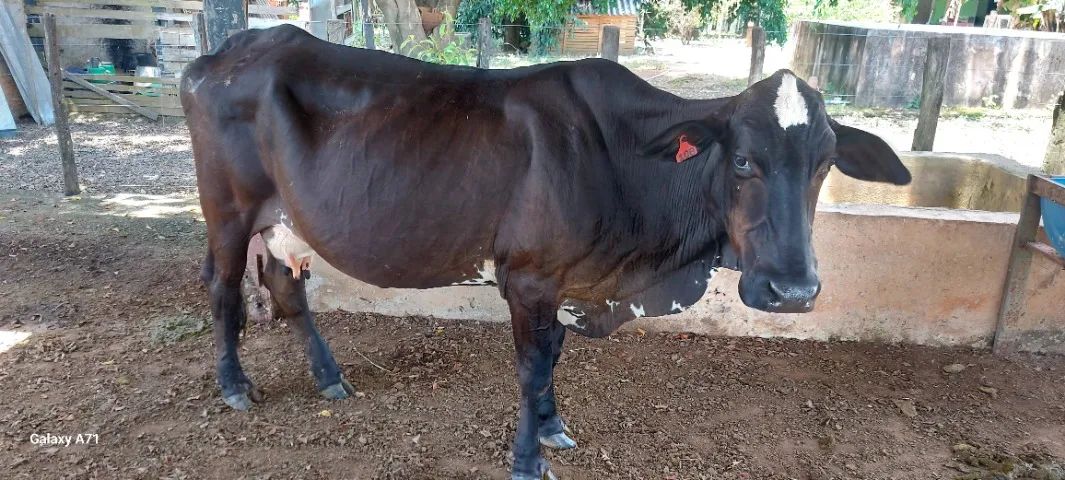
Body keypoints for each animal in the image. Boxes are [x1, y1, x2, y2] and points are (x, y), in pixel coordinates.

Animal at [180, 25, 910, 480]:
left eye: (824, 163)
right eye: (742, 160)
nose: (793, 291)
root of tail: (225, 51)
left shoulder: (566, 279)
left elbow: (554, 354)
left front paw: (552, 425)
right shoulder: (529, 277)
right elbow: (532, 365)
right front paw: (528, 458)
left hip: (286, 224)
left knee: (286, 288)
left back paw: (329, 376)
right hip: (228, 211)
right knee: (222, 286)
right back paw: (234, 385)